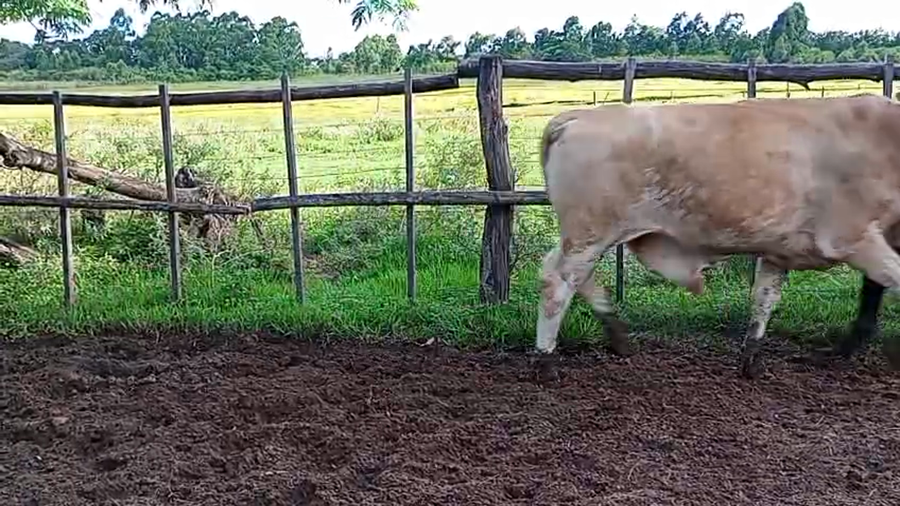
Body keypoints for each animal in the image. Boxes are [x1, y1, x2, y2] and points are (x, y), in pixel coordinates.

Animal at [535, 93, 900, 379]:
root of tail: (575, 116)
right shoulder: (854, 238)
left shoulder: (779, 250)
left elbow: (764, 298)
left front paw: (751, 359)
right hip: (589, 234)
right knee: (558, 282)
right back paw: (546, 360)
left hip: (588, 237)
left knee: (566, 273)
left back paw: (617, 334)